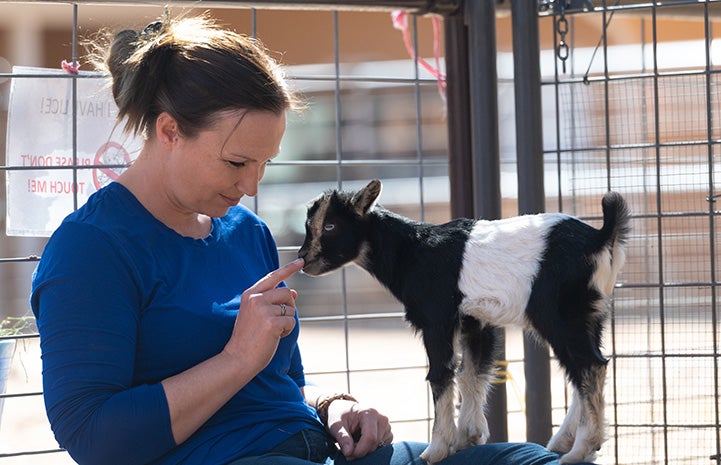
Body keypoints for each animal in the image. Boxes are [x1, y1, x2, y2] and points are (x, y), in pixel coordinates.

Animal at [296, 179, 628, 462]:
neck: (412, 250)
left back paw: (581, 448)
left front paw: (437, 449)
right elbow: (472, 373)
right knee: (586, 368)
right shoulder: (476, 321)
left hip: (560, 314)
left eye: (330, 225)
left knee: (589, 366)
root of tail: (601, 237)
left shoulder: (436, 319)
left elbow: (441, 374)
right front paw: (468, 438)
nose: (303, 259)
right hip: (592, 313)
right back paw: (564, 442)